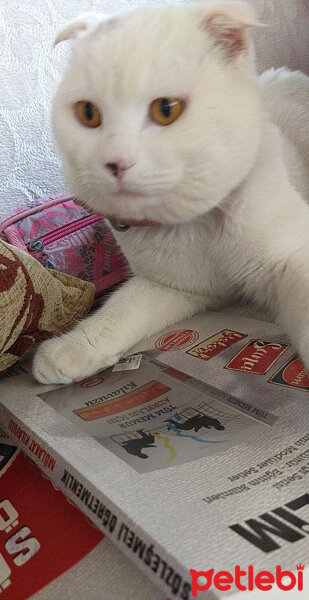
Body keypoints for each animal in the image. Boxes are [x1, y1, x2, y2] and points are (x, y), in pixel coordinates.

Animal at [32, 1, 308, 384]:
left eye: (166, 109)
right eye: (87, 113)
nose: (115, 162)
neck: (195, 227)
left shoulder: (292, 260)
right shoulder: (174, 286)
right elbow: (122, 308)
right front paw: (70, 349)